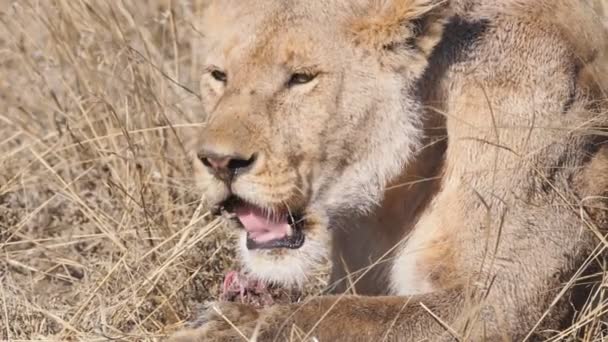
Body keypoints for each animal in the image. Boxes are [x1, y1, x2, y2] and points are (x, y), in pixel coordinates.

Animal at [170, 0, 608, 340]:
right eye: (218, 75)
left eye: (301, 78)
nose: (219, 162)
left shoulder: (499, 303)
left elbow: (336, 314)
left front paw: (226, 327)